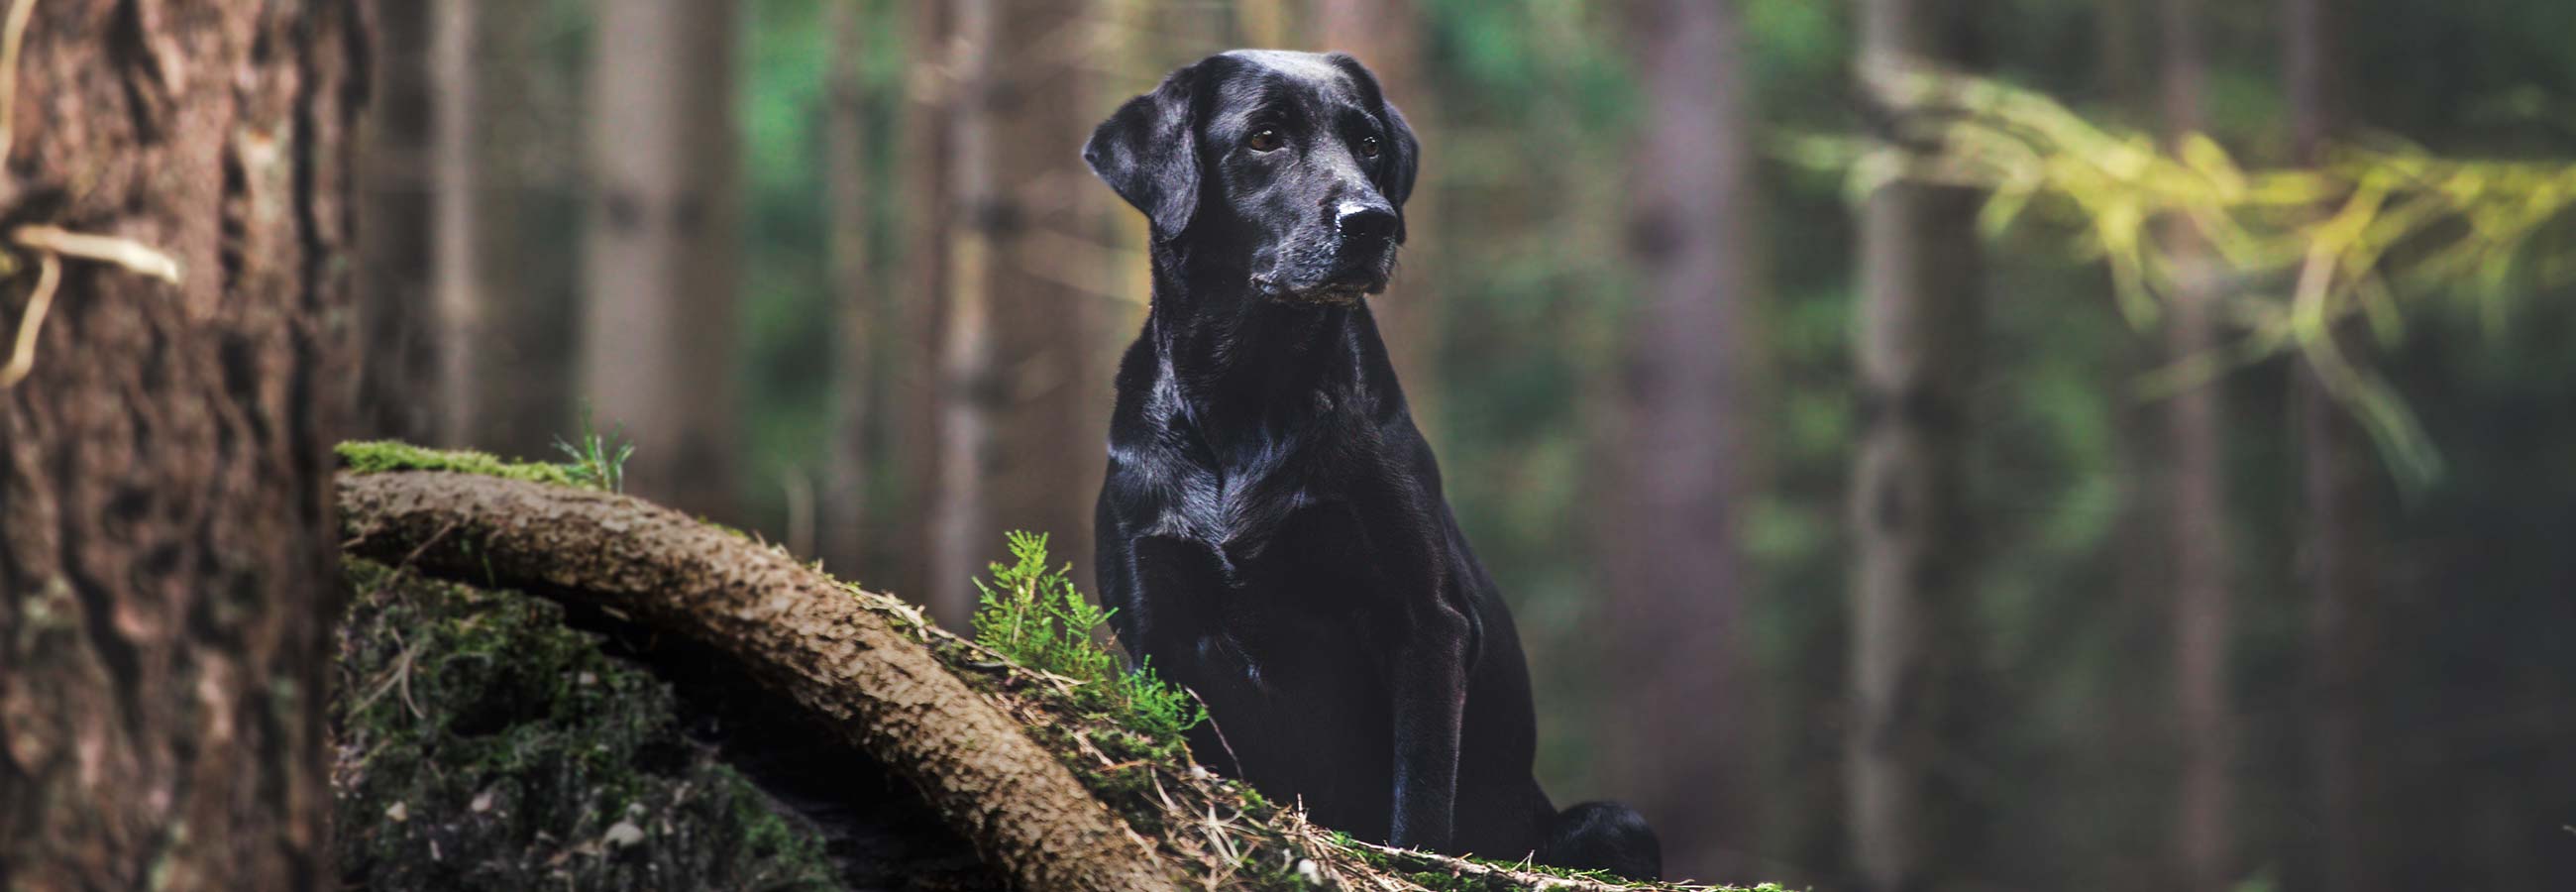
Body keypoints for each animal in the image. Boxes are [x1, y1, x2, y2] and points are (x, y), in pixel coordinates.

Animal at [1076, 49, 1659, 876]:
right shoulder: (1157, 625)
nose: (1372, 222)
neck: (1249, 396)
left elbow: (1420, 791)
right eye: (1265, 137)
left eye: (1370, 143)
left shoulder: (1423, 619)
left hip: (1610, 822)